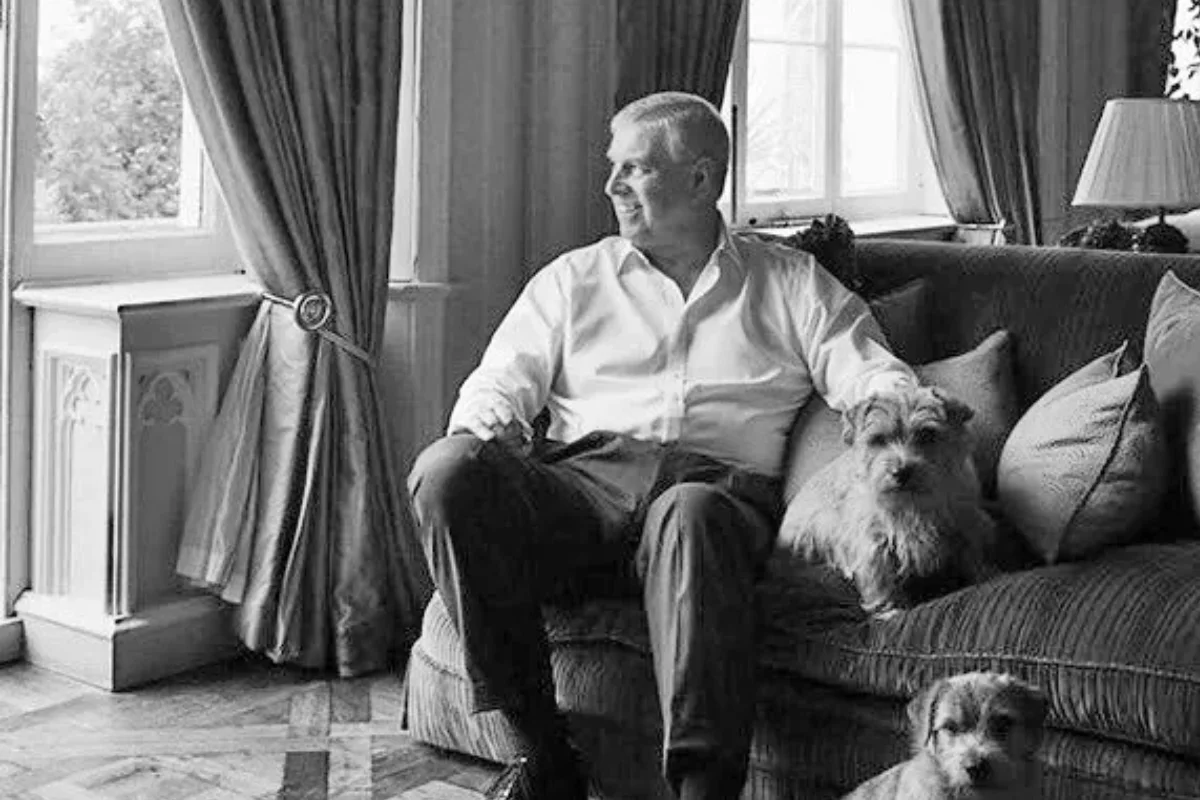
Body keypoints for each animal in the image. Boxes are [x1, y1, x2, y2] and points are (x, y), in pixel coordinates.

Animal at [775, 386, 997, 615]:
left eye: (926, 434)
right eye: (878, 439)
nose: (901, 472)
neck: (913, 503)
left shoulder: (967, 524)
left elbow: (973, 554)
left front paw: (985, 575)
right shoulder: (873, 542)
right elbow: (880, 578)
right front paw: (890, 610)